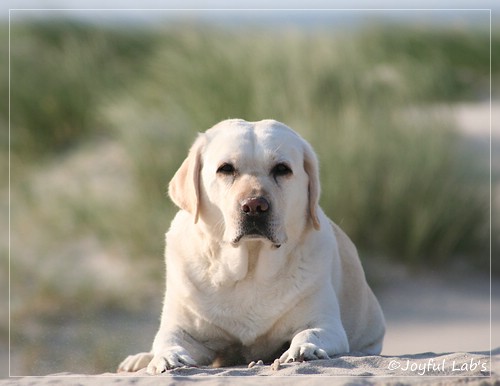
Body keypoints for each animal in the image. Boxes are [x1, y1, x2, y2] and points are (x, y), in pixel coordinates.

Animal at [119, 118, 384, 374]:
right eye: (226, 168)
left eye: (282, 169)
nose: (255, 206)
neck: (250, 267)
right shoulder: (182, 326)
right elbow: (168, 340)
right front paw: (167, 357)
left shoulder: (325, 323)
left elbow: (310, 332)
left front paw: (304, 349)